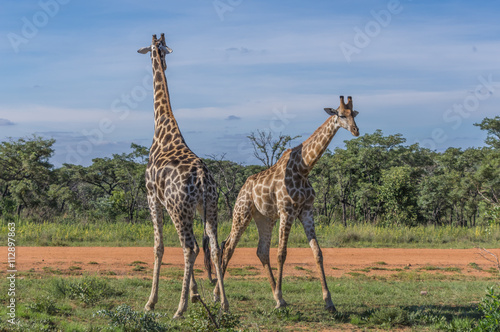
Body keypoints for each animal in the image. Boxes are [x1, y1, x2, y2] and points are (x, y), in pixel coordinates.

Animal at [139, 34, 229, 320]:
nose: (163, 63)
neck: (162, 127)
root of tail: (201, 177)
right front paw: (196, 294)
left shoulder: (152, 197)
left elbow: (158, 247)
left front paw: (151, 302)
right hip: (208, 208)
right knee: (213, 247)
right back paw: (223, 304)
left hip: (179, 209)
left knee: (190, 248)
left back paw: (179, 309)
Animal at [215, 95, 360, 312]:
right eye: (341, 115)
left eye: (354, 114)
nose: (356, 130)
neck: (304, 169)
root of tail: (242, 188)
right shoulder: (287, 211)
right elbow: (281, 254)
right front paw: (282, 299)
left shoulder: (306, 211)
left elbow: (317, 252)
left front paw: (328, 301)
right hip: (242, 212)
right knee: (229, 247)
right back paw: (219, 297)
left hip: (264, 218)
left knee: (261, 251)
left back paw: (274, 296)